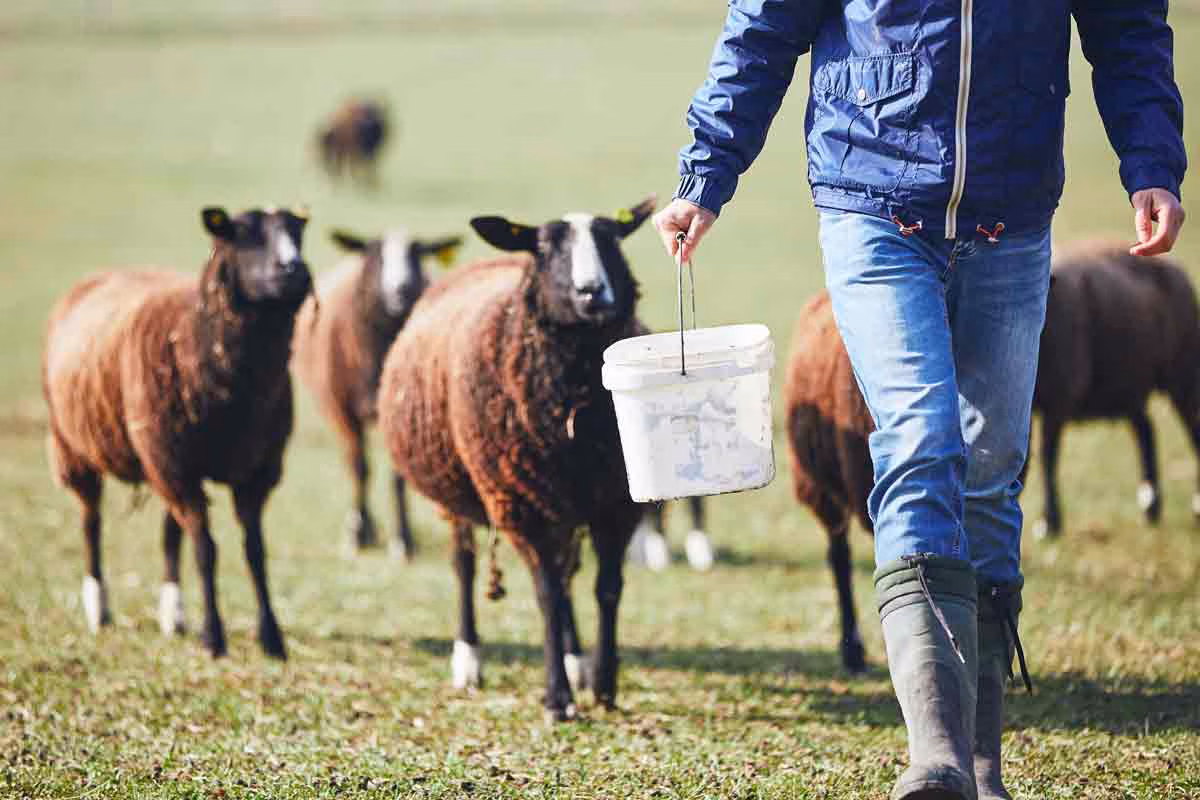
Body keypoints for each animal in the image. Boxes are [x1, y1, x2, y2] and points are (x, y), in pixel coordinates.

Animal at [42, 206, 312, 659]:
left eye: (297, 233)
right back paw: (99, 608)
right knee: (91, 523)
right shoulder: (178, 465)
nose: (295, 271)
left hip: (163, 462)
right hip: (78, 448)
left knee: (171, 534)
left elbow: (254, 551)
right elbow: (207, 550)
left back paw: (174, 615)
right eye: (243, 235)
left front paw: (271, 638)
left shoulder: (255, 470)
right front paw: (214, 638)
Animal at [292, 227, 461, 559]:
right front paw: (358, 534)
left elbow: (396, 477)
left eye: (417, 254)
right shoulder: (342, 410)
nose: (401, 289)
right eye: (375, 254)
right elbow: (360, 468)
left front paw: (403, 540)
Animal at [377, 197, 656, 721]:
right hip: (461, 490)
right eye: (545, 247)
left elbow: (606, 588)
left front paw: (603, 684)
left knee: (568, 576)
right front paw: (557, 700)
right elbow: (546, 595)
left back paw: (574, 657)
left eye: (612, 239)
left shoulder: (615, 502)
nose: (593, 293)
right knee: (465, 565)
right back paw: (469, 659)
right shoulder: (523, 505)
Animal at [1033, 243, 1200, 537]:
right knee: (1146, 430)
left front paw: (1049, 523)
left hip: (1184, 375)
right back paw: (1150, 507)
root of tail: (1176, 269)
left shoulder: (1058, 399)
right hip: (1130, 383)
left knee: (1191, 429)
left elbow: (1046, 459)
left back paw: (1194, 506)